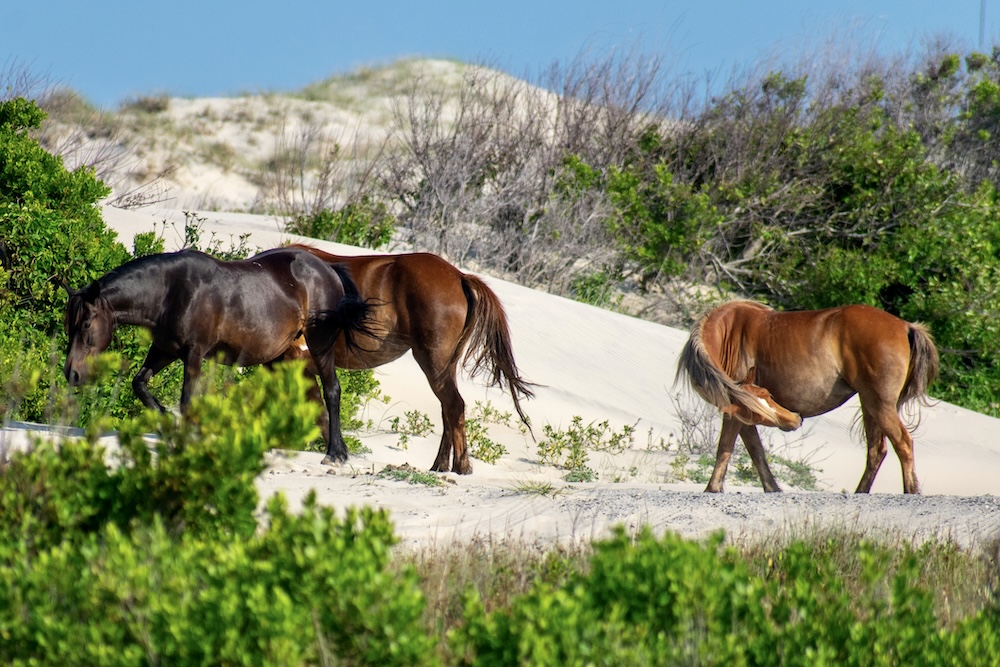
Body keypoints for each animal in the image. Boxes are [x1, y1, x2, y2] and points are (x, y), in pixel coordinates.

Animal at [63, 246, 373, 465]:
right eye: (69, 326)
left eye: (86, 324)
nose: (72, 374)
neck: (169, 292)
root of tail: (328, 269)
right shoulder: (165, 350)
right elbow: (139, 384)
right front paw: (166, 420)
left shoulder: (194, 353)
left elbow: (187, 402)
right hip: (279, 356)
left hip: (319, 342)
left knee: (332, 390)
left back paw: (335, 453)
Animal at [280, 243, 535, 475]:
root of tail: (459, 276)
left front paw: (332, 452)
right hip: (446, 366)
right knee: (448, 409)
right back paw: (441, 465)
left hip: (432, 362)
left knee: (454, 405)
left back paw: (462, 466)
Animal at [675, 300, 939, 494]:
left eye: (769, 395)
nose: (794, 419)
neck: (727, 334)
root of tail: (905, 326)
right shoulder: (744, 414)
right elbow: (755, 450)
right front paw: (771, 487)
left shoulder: (735, 410)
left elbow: (725, 447)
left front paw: (712, 488)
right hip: (870, 404)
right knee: (877, 451)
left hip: (879, 404)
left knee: (902, 443)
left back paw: (911, 491)